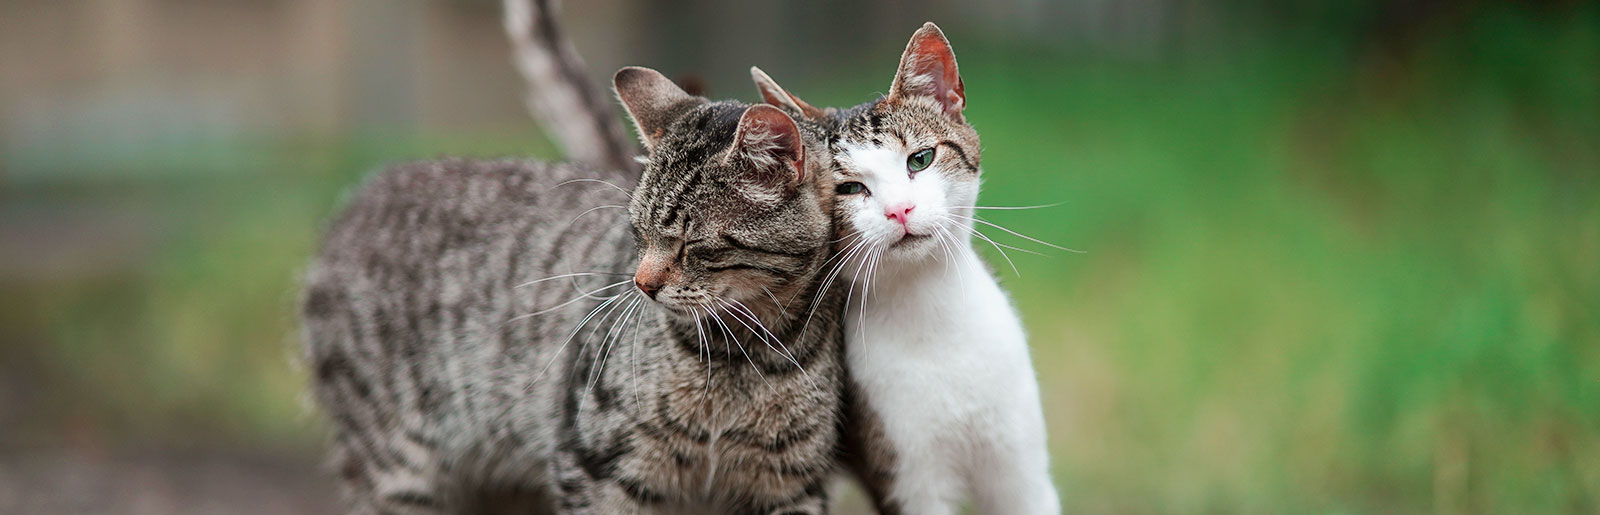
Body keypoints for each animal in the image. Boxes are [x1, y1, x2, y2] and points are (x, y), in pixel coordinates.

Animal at [300, 66, 851, 511]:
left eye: (691, 244)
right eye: (638, 233)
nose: (642, 284)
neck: (739, 354)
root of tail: (356, 200)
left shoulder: (793, 483)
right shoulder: (593, 465)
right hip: (396, 468)